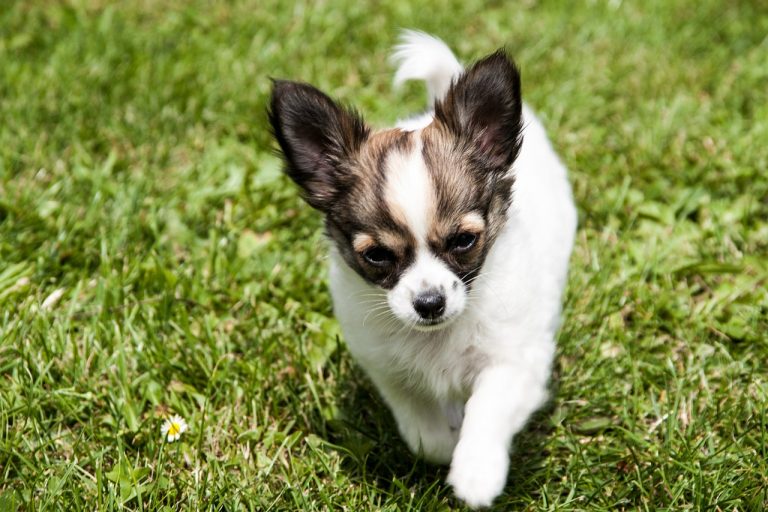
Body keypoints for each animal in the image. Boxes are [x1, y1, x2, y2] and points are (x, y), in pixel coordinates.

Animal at [270, 31, 576, 508]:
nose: (429, 303)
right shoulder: (389, 372)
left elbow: (488, 406)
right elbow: (420, 430)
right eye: (377, 255)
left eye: (463, 241)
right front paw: (445, 445)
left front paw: (475, 471)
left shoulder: (515, 361)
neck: (437, 340)